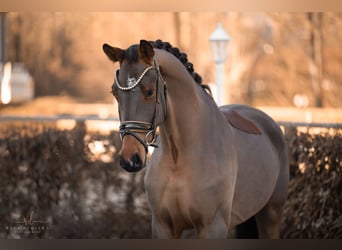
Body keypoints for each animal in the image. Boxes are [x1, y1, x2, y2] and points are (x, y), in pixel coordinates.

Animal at [102, 39, 288, 238]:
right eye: (115, 93)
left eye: (150, 91)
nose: (130, 159)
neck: (179, 159)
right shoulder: (163, 226)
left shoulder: (212, 227)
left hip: (270, 214)